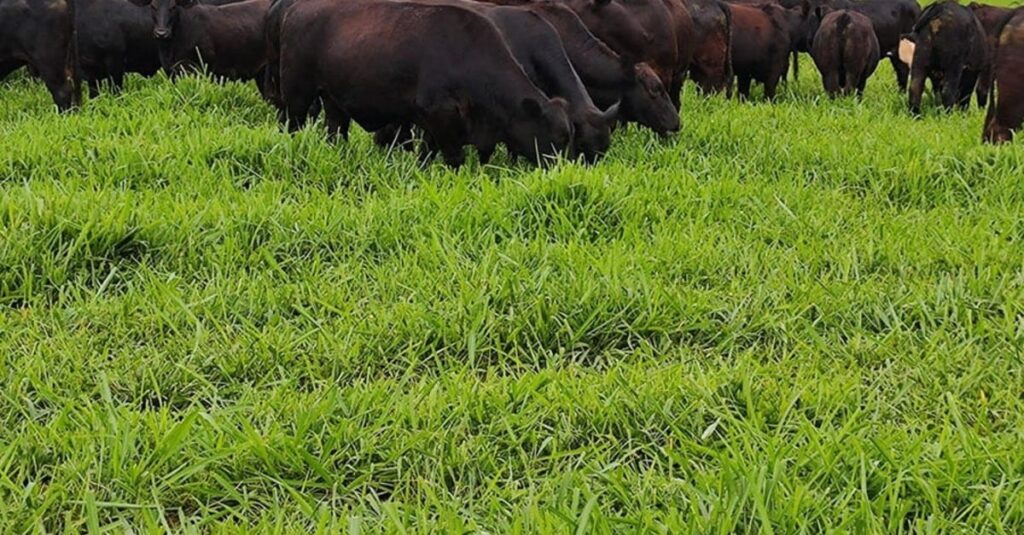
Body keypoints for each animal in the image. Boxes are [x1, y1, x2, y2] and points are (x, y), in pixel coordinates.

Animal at [276, 0, 573, 165]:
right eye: (557, 137)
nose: (559, 170)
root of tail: (297, 8)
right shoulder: (440, 114)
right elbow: (453, 157)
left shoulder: (434, 120)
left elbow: (427, 154)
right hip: (297, 93)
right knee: (291, 125)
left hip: (334, 100)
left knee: (336, 131)